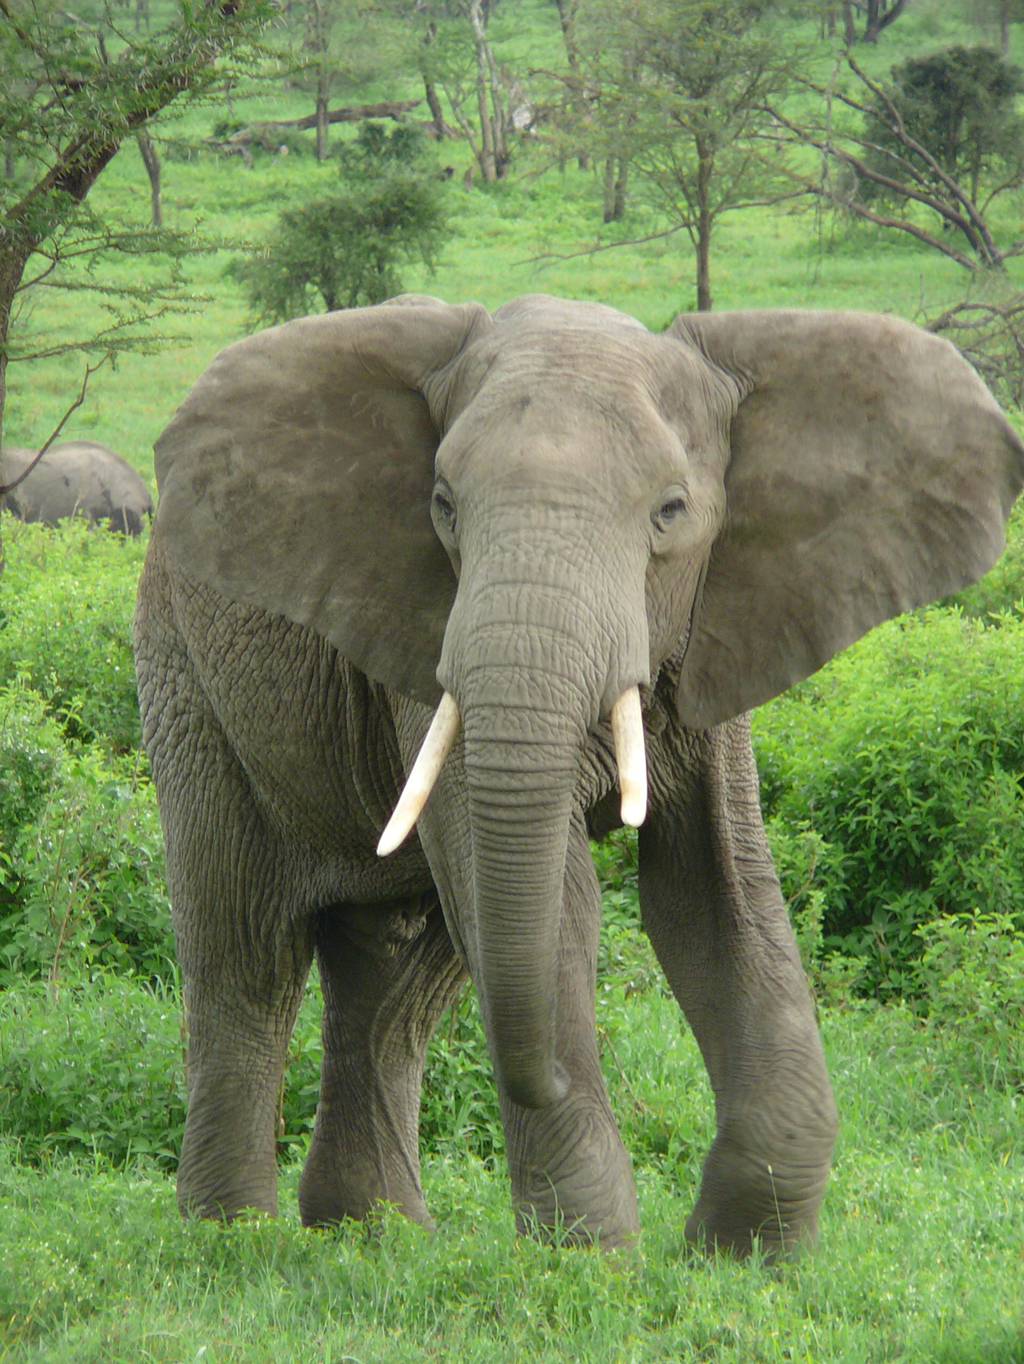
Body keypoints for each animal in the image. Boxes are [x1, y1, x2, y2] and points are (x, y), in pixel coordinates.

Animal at [134, 295, 1024, 1254]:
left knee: (394, 980)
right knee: (246, 949)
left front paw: (741, 1256)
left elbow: (717, 893)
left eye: (671, 510)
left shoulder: (713, 633)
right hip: (185, 676)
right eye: (443, 506)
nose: (550, 1078)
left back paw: (379, 1236)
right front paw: (590, 1258)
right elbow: (558, 902)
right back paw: (234, 1237)